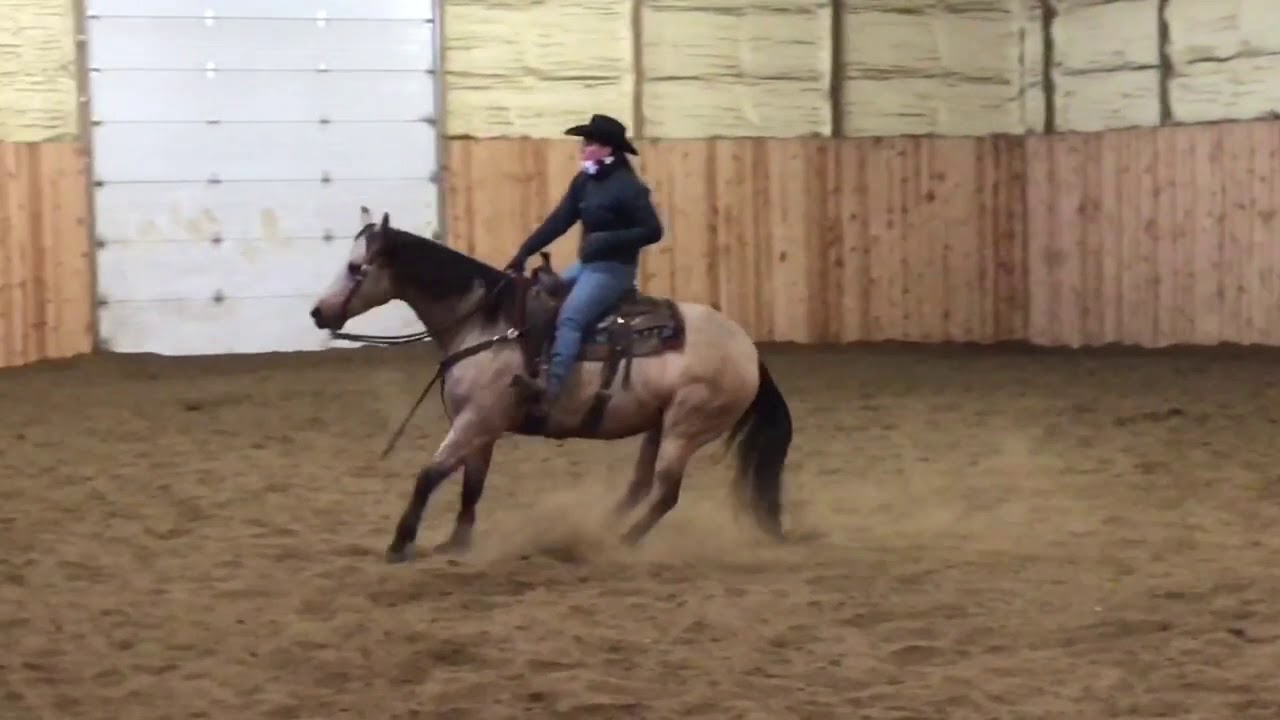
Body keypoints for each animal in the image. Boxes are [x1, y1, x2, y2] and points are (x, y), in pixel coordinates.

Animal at [309, 207, 793, 563]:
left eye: (355, 267)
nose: (318, 313)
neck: (488, 322)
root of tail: (749, 351)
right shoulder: (481, 427)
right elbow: (471, 484)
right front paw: (456, 543)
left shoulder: (477, 420)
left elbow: (429, 475)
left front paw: (400, 542)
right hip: (660, 425)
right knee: (641, 486)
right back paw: (602, 530)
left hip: (686, 428)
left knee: (666, 494)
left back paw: (620, 544)